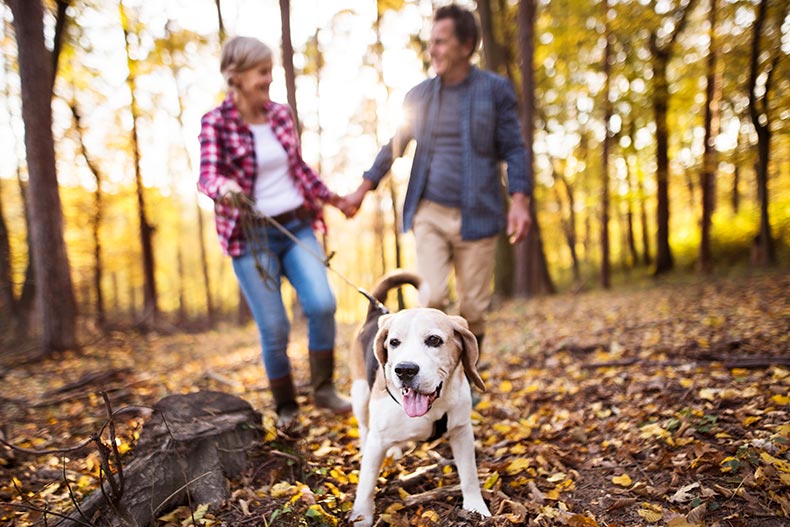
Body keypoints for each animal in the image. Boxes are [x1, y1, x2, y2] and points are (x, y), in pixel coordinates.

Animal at [352, 272, 492, 527]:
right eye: (394, 342)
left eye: (434, 340)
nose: (405, 370)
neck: (431, 409)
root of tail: (375, 313)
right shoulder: (377, 441)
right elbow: (365, 485)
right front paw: (361, 517)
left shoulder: (461, 431)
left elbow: (469, 474)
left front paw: (476, 508)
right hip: (359, 395)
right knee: (365, 429)